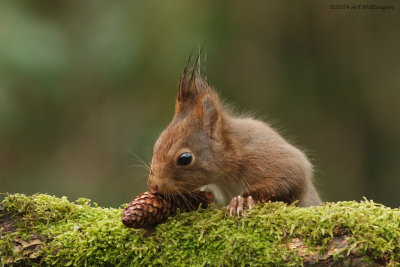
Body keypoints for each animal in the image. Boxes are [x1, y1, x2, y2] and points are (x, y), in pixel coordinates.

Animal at [147, 53, 322, 217]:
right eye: (156, 144)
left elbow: (286, 181)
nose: (153, 185)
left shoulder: (271, 159)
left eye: (185, 159)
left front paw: (242, 201)